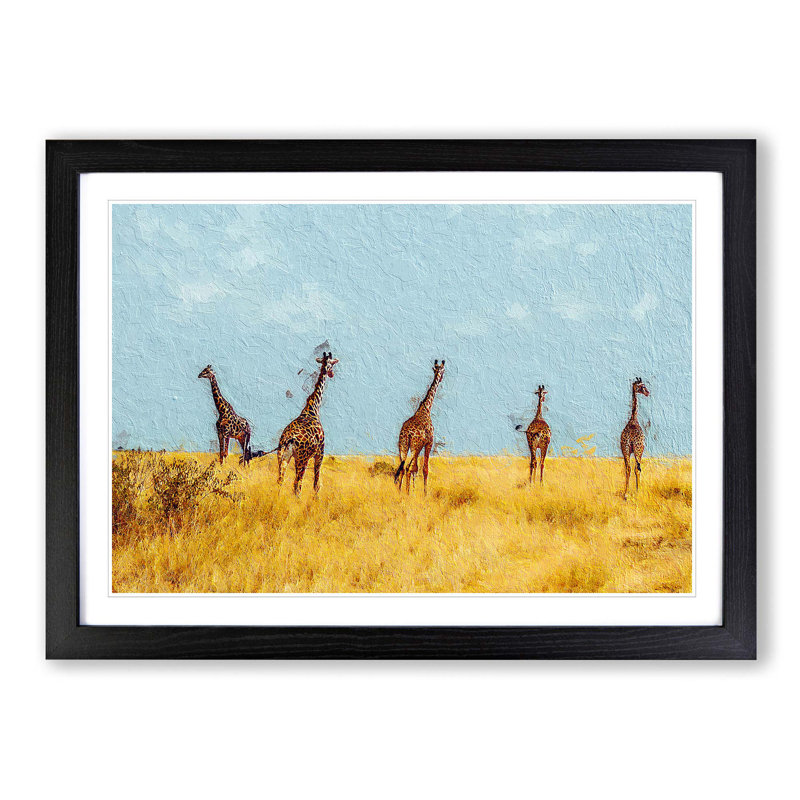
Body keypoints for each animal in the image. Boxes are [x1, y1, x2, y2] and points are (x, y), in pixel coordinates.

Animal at [276, 351, 338, 495]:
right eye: (332, 364)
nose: (332, 374)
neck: (313, 408)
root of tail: (289, 439)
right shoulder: (320, 453)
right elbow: (316, 483)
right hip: (301, 459)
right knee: (297, 484)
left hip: (283, 456)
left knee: (280, 480)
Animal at [394, 360, 445, 494]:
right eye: (443, 371)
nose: (441, 378)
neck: (426, 408)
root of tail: (407, 433)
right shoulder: (429, 442)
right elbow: (424, 469)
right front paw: (424, 494)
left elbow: (415, 469)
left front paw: (414, 490)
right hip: (415, 446)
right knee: (407, 467)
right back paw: (406, 493)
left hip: (403, 445)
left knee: (402, 467)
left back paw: (400, 492)